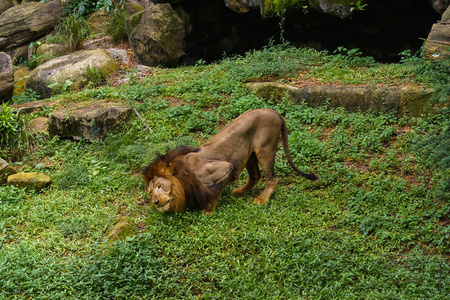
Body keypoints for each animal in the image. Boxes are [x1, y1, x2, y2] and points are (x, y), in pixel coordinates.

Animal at [142, 108, 318, 213]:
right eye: (150, 192)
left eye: (160, 186)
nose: (155, 202)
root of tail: (274, 111)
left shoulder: (225, 167)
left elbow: (214, 191)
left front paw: (209, 209)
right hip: (250, 154)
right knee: (255, 176)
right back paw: (239, 192)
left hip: (265, 148)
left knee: (272, 179)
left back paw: (262, 199)